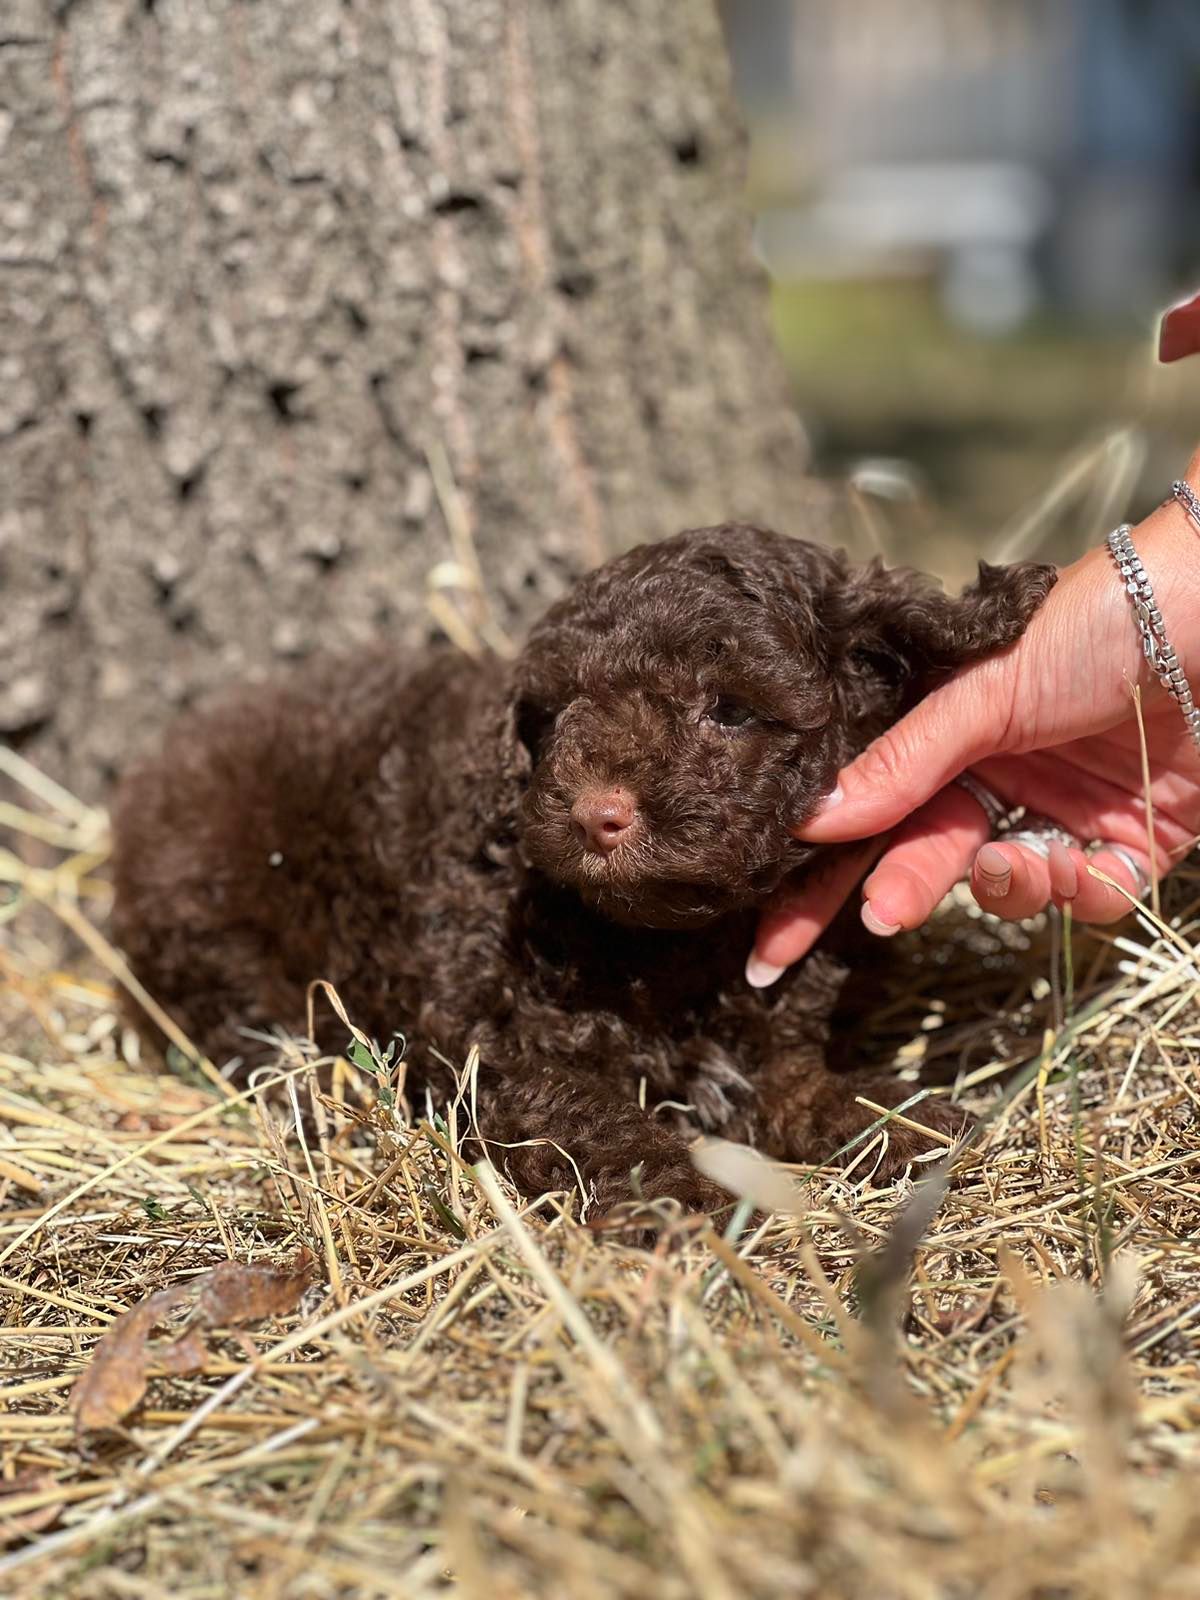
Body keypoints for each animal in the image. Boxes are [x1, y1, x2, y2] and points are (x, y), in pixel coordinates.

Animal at [110, 524, 1049, 1209]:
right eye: (555, 713)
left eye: (731, 709)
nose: (598, 812)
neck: (673, 944)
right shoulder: (497, 1040)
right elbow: (586, 1113)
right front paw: (665, 1185)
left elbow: (796, 1087)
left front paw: (896, 1118)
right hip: (210, 910)